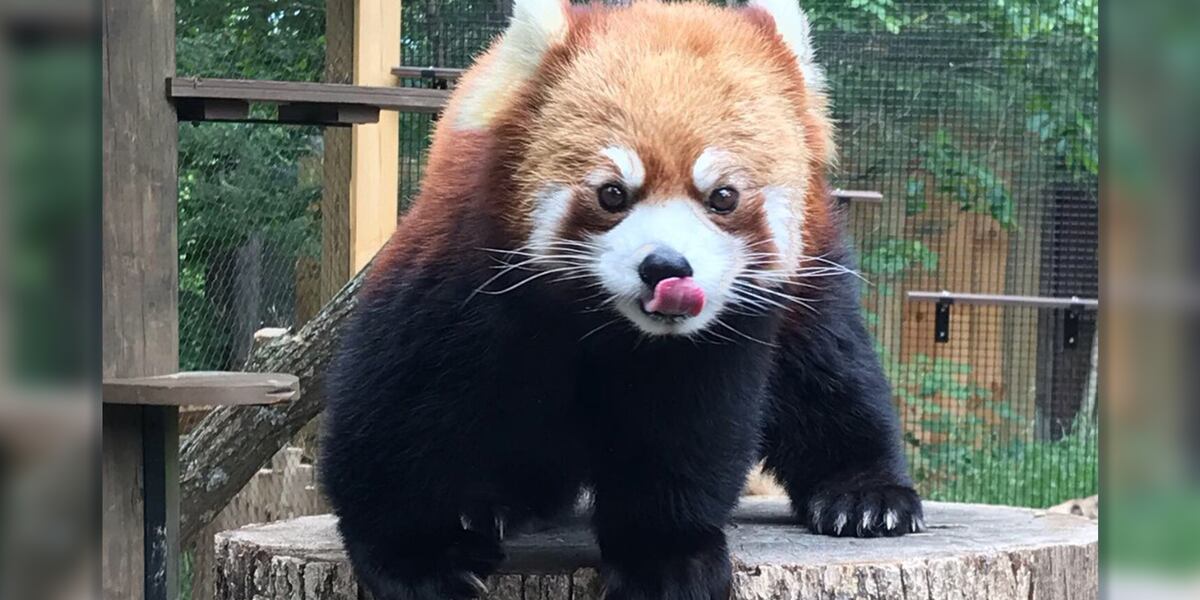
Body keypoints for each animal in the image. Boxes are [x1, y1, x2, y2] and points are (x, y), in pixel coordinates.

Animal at [320, 1, 924, 598]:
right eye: (613, 193)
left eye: (723, 197)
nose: (666, 268)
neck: (608, 320)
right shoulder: (460, 267)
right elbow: (399, 405)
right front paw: (417, 557)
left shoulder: (717, 336)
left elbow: (683, 429)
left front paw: (665, 558)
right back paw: (496, 502)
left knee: (828, 363)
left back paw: (865, 494)